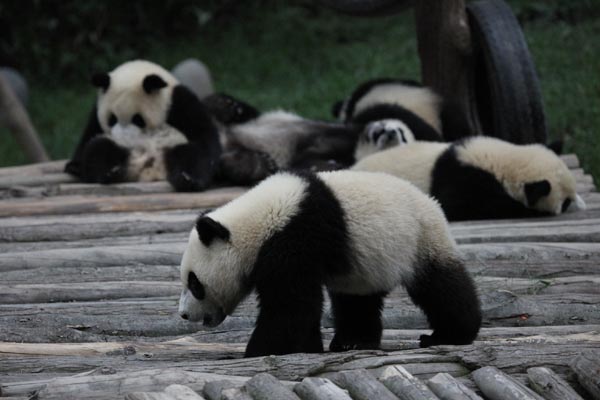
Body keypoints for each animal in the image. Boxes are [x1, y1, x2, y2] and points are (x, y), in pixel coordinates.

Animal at [66, 59, 220, 192]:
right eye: (112, 119)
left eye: (138, 119)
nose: (123, 140)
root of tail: (147, 170)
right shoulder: (97, 110)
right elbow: (89, 136)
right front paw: (74, 166)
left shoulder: (178, 102)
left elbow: (203, 134)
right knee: (99, 148)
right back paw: (110, 171)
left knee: (190, 153)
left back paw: (187, 179)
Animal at [176, 169, 480, 356]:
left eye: (194, 283)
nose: (184, 315)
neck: (258, 221)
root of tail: (432, 203)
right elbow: (300, 306)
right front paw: (307, 346)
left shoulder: (296, 235)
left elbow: (290, 305)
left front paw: (261, 350)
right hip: (367, 264)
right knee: (357, 301)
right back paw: (352, 342)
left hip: (419, 240)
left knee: (441, 287)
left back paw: (450, 334)